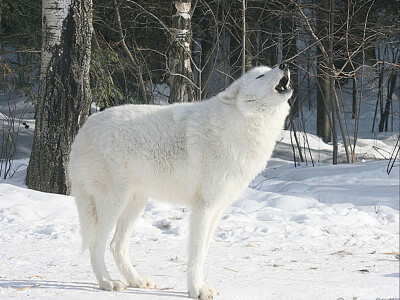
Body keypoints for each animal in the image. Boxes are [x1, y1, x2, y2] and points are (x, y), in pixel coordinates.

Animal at [69, 64, 292, 298]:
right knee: (97, 245)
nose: (284, 65)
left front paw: (200, 286)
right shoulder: (203, 207)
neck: (241, 125)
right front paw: (196, 290)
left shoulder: (217, 209)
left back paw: (137, 281)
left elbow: (204, 252)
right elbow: (196, 253)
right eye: (261, 75)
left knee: (116, 246)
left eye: (270, 69)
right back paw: (107, 282)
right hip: (114, 204)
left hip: (135, 205)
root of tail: (83, 129)